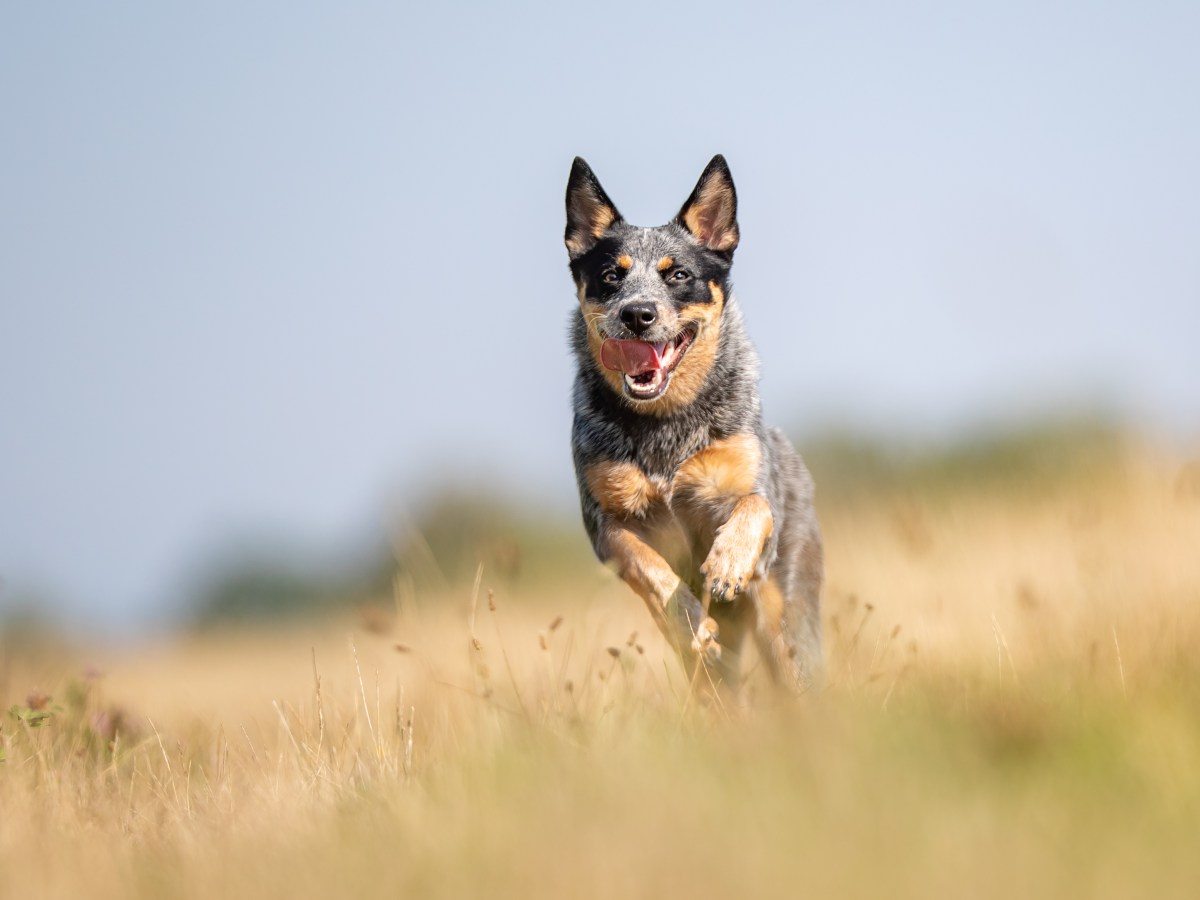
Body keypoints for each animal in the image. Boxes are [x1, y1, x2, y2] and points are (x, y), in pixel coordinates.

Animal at [561, 154, 825, 696]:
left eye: (678, 274)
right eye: (610, 276)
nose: (637, 313)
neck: (666, 424)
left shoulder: (747, 486)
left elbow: (753, 505)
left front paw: (726, 564)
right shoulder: (605, 524)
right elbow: (649, 567)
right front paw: (689, 620)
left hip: (788, 627)